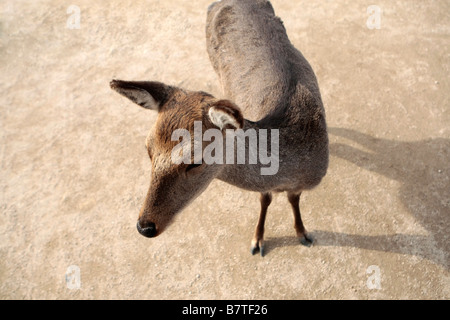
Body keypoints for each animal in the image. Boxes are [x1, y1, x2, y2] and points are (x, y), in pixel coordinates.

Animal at [109, 0, 326, 255]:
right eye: (148, 150)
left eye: (195, 161)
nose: (145, 226)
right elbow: (265, 199)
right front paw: (257, 240)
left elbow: (293, 200)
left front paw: (303, 234)